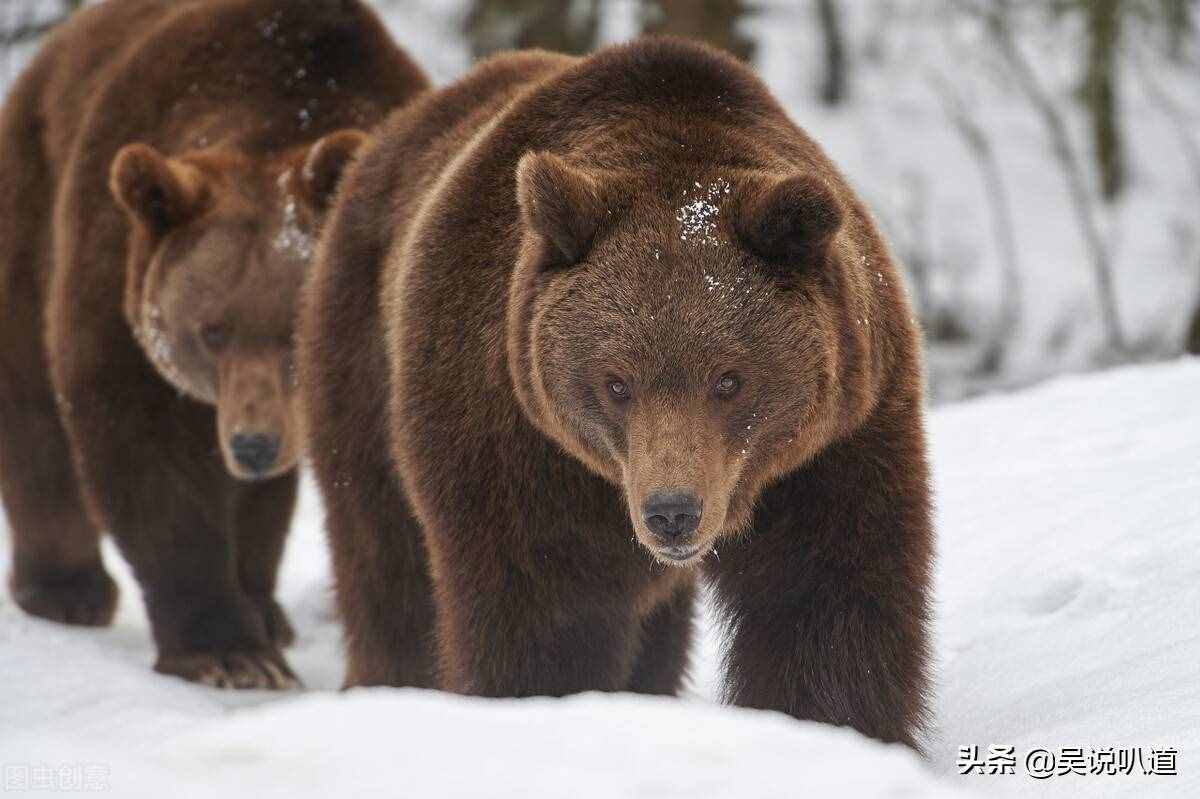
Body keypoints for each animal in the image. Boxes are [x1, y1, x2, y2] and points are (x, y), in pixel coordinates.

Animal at [0, 0, 429, 686]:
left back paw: (266, 605)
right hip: (34, 197)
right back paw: (68, 591)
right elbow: (142, 447)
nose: (253, 444)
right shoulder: (119, 262)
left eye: (292, 331)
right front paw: (229, 652)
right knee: (32, 408)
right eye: (211, 328)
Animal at [302, 37, 936, 748]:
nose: (672, 511)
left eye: (729, 378)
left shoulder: (836, 439)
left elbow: (827, 598)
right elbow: (543, 604)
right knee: (385, 559)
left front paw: (833, 726)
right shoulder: (517, 438)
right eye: (616, 381)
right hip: (359, 363)